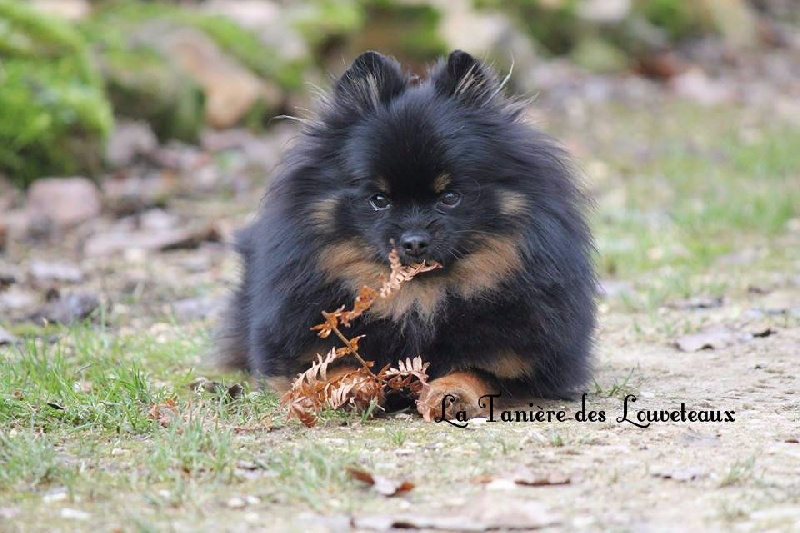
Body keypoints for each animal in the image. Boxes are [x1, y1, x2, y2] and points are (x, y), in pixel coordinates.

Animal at [216, 50, 596, 418]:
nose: (414, 241)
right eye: (379, 200)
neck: (416, 299)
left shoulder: (523, 365)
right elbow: (332, 368)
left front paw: (450, 393)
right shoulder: (298, 355)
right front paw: (351, 389)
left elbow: (476, 372)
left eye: (450, 197)